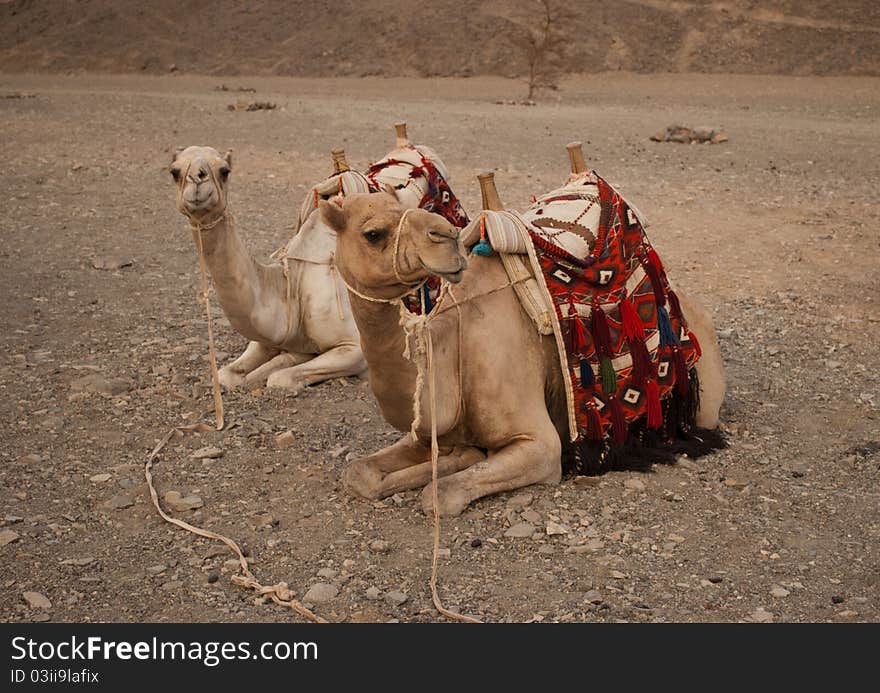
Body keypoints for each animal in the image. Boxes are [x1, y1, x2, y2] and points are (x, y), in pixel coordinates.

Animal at [320, 158, 724, 512]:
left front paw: (456, 464)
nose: (446, 236)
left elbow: (440, 495)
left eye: (406, 206)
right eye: (373, 233)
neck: (456, 347)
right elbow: (359, 473)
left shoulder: (541, 446)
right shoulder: (428, 432)